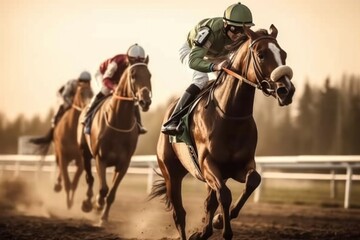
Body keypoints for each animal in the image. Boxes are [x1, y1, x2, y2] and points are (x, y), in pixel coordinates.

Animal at [77, 58, 152, 225]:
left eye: (149, 75)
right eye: (133, 75)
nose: (145, 101)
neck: (118, 122)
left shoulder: (124, 164)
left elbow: (111, 193)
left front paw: (103, 217)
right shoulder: (101, 158)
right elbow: (103, 189)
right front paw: (97, 204)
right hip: (85, 152)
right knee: (89, 178)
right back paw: (87, 203)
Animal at [149, 24, 296, 240]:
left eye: (283, 54)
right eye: (261, 55)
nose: (287, 90)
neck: (230, 116)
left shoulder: (239, 165)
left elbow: (253, 180)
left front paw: (218, 221)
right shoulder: (208, 164)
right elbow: (225, 195)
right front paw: (223, 227)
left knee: (209, 202)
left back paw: (204, 230)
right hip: (171, 173)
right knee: (179, 214)